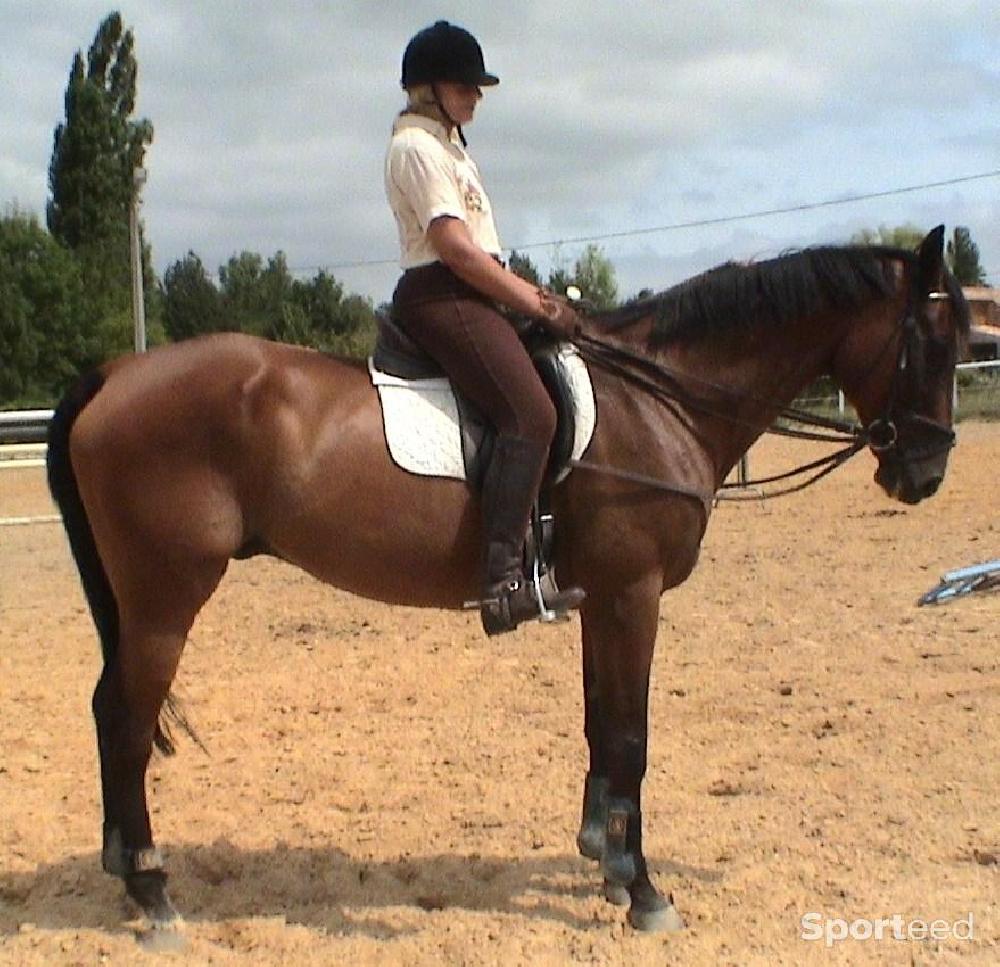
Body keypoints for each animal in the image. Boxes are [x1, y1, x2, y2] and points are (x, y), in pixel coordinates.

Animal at [45, 225, 968, 936]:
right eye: (934, 342)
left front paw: (604, 854)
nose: (923, 474)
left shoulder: (600, 598)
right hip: (166, 597)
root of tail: (114, 373)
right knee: (126, 721)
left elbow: (601, 726)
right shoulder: (633, 593)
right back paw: (153, 892)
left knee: (105, 708)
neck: (658, 400)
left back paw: (124, 867)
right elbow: (630, 736)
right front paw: (644, 890)